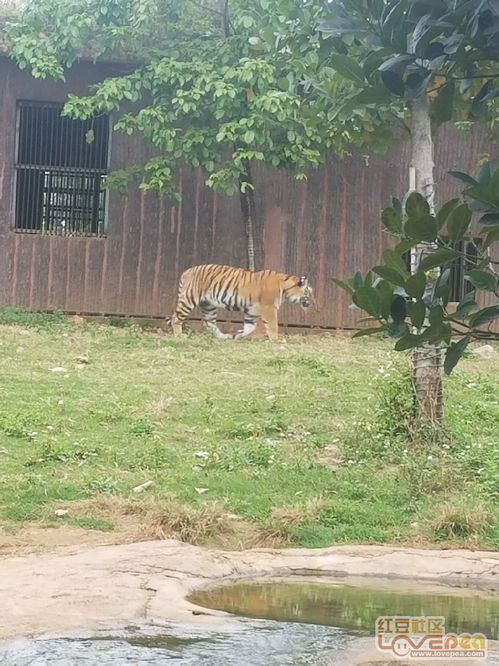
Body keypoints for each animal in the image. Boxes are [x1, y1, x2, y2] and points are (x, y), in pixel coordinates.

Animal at [170, 262, 314, 340]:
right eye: (309, 292)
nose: (314, 303)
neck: (285, 289)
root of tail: (186, 271)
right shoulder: (269, 308)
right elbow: (273, 325)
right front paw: (277, 340)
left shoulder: (252, 311)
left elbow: (250, 327)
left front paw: (238, 335)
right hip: (189, 299)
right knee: (175, 318)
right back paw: (179, 335)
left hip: (208, 305)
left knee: (208, 323)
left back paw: (223, 336)